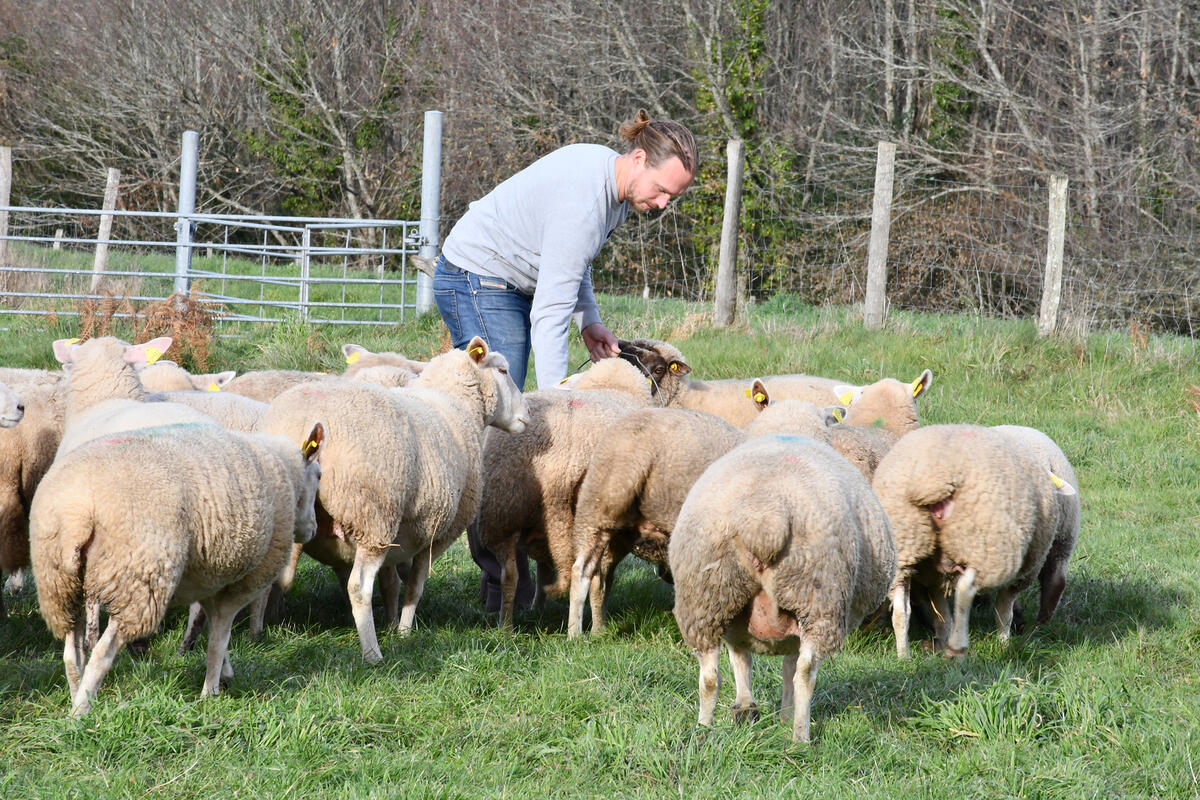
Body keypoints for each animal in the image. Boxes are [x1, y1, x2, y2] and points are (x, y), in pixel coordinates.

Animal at [31, 422, 326, 714]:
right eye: (320, 476)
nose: (313, 530)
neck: (287, 474)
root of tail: (76, 510)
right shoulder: (243, 584)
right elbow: (219, 636)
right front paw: (211, 691)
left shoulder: (206, 580)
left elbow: (210, 624)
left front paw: (225, 672)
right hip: (137, 577)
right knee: (102, 652)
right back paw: (82, 710)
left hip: (59, 584)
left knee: (71, 653)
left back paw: (74, 696)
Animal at [258, 338, 525, 662]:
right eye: (504, 370)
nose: (526, 414)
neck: (455, 406)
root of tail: (305, 429)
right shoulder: (439, 533)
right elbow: (415, 585)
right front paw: (405, 631)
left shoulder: (401, 533)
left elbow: (390, 583)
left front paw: (392, 622)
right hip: (373, 515)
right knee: (359, 587)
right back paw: (373, 653)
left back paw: (256, 632)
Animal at [672, 434, 897, 743]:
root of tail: (764, 517)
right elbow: (787, 667)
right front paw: (783, 716)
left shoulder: (737, 624)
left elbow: (741, 659)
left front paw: (746, 708)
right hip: (819, 598)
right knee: (805, 672)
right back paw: (800, 737)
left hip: (707, 596)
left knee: (709, 675)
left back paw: (703, 728)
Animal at [873, 422, 1080, 662]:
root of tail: (934, 479)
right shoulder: (1024, 570)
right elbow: (1004, 610)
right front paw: (1003, 642)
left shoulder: (932, 575)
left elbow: (941, 612)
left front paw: (941, 639)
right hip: (983, 545)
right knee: (966, 590)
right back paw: (957, 647)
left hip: (903, 546)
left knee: (900, 607)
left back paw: (904, 655)